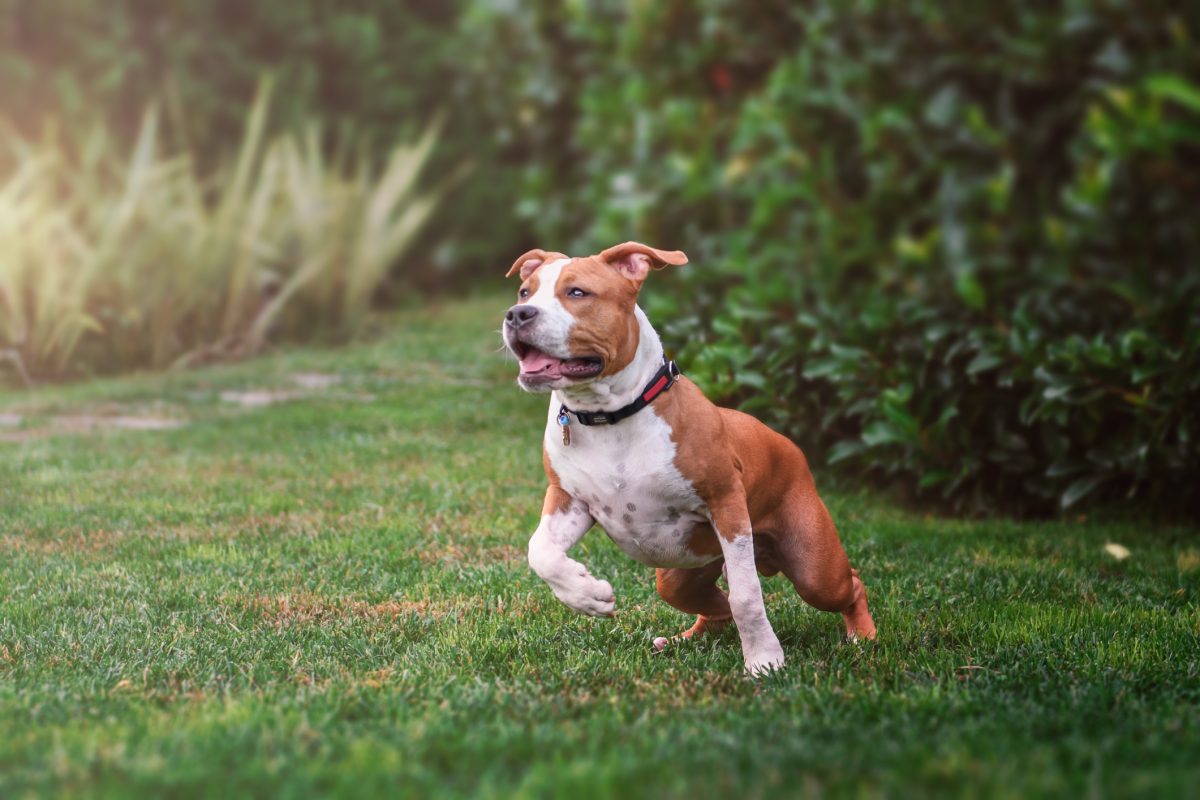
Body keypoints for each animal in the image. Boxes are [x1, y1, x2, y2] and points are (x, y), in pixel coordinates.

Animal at [501, 241, 878, 671]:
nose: (517, 314)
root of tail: (787, 443)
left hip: (813, 567)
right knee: (715, 606)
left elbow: (747, 596)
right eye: (524, 292)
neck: (610, 415)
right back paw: (682, 641)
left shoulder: (726, 504)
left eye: (577, 292)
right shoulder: (568, 499)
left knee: (847, 584)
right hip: (679, 576)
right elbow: (540, 551)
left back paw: (863, 636)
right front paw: (588, 596)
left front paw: (764, 660)